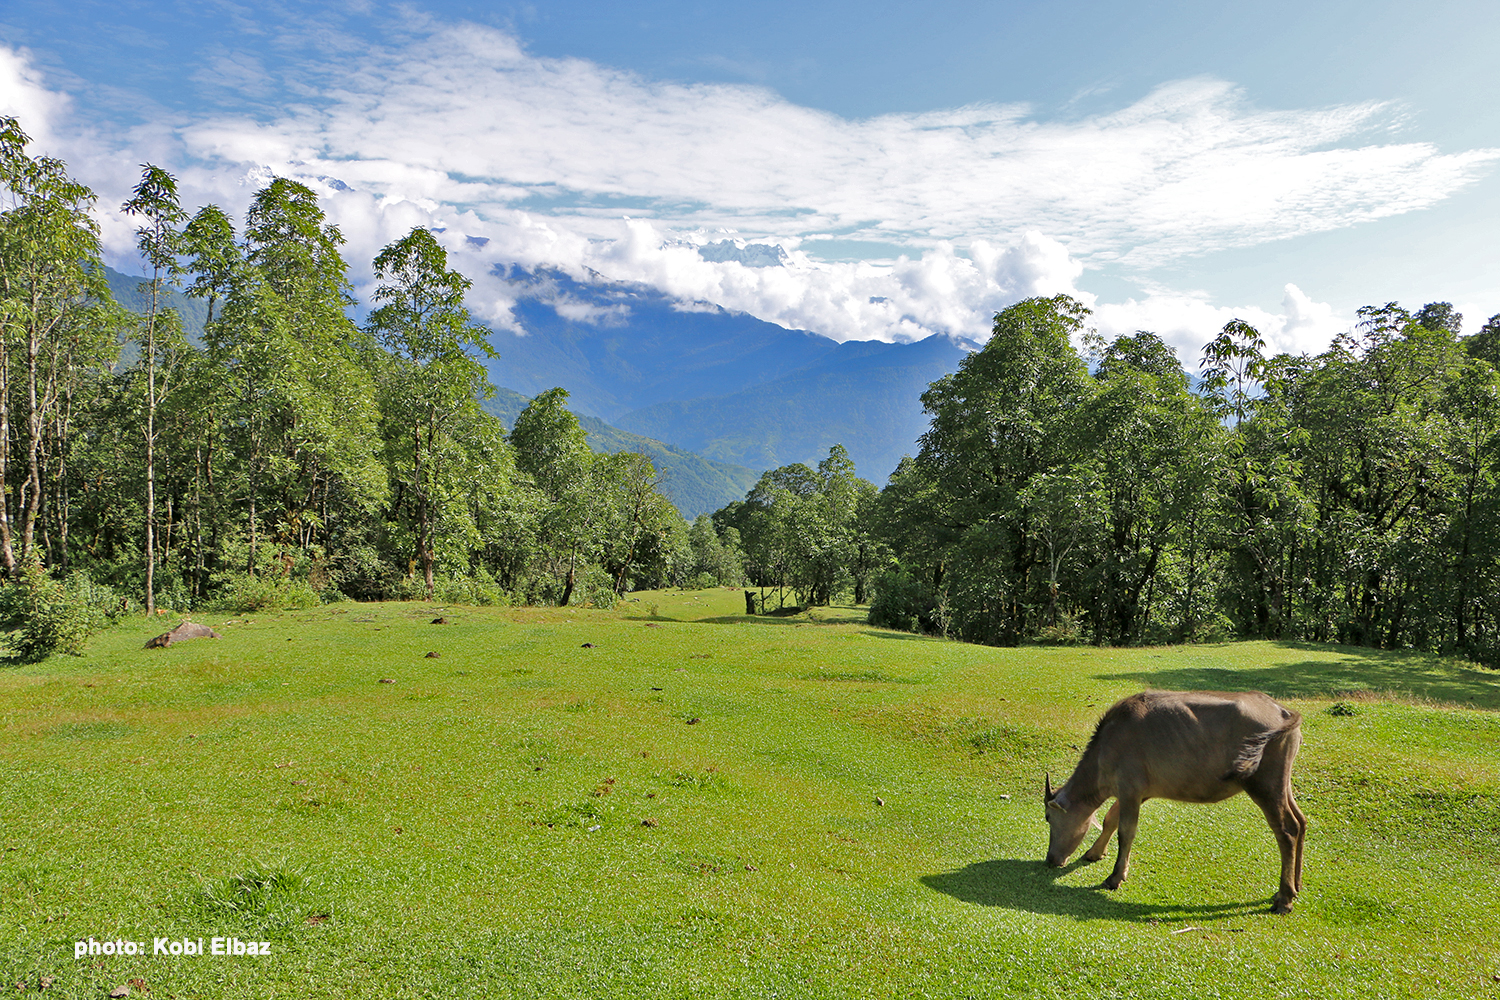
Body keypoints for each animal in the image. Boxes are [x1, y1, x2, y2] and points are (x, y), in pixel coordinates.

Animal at [1044, 692, 1302, 911]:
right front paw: (1094, 852)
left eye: (1048, 818)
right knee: (1300, 821)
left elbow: (1126, 832)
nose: (1050, 859)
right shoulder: (1137, 793)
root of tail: (1283, 712)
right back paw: (1296, 885)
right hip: (1283, 784)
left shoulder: (1129, 790)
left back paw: (1284, 898)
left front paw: (1115, 877)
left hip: (1264, 786)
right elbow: (1110, 819)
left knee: (1286, 830)